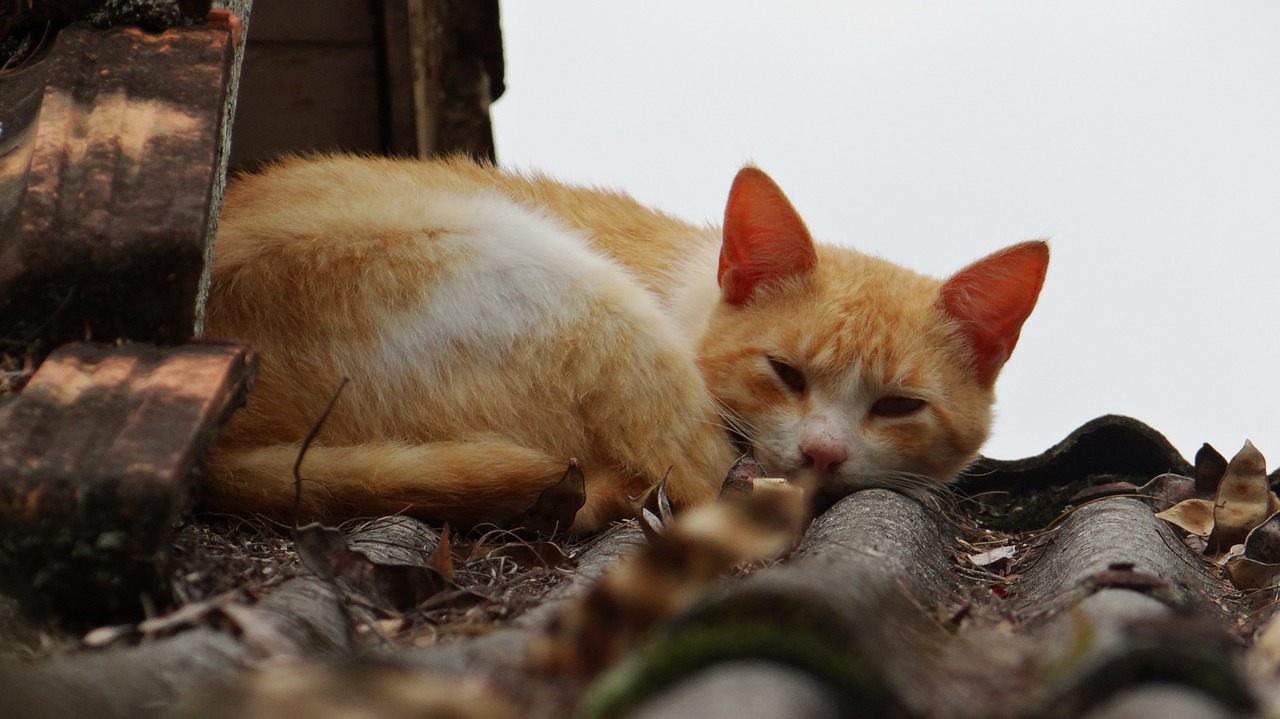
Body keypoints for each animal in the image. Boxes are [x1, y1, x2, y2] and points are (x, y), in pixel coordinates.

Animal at [202, 154, 1049, 529]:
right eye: (784, 372)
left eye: (899, 405)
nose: (823, 453)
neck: (692, 291)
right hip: (566, 284)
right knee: (696, 480)